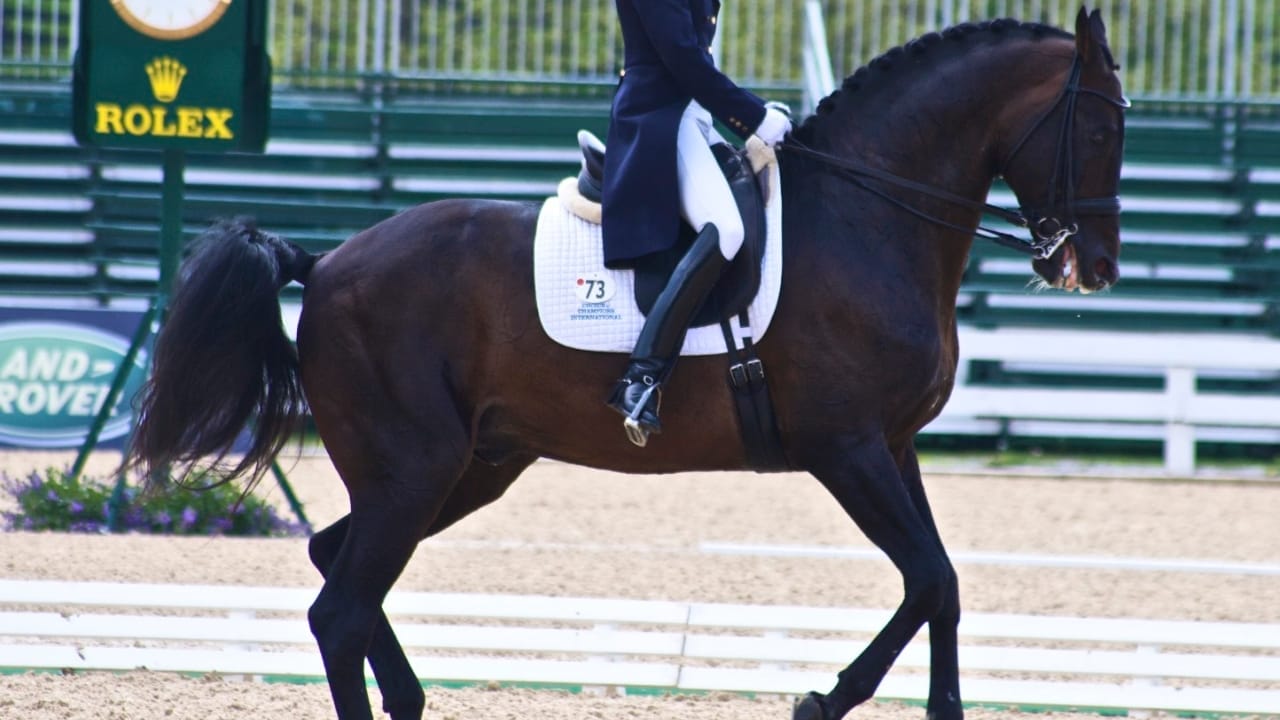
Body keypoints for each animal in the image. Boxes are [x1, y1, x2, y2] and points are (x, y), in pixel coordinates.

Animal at [127, 8, 1127, 720]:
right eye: (1098, 131)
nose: (1094, 268)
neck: (869, 215)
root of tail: (327, 262)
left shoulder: (895, 445)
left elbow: (944, 586)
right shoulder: (845, 448)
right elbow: (927, 578)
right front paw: (819, 698)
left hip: (466, 468)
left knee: (338, 566)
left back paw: (409, 698)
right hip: (415, 468)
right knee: (337, 607)